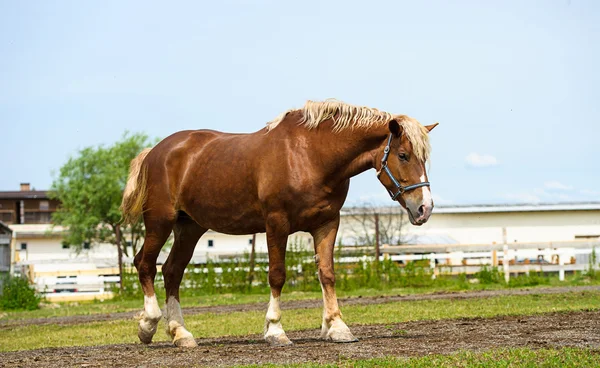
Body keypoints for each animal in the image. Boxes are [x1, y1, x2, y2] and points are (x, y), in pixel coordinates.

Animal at [120, 99, 436, 346]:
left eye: (423, 159)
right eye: (403, 155)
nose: (425, 208)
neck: (310, 155)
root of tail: (155, 152)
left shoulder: (327, 224)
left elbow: (327, 273)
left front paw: (337, 327)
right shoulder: (276, 224)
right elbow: (277, 275)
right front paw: (275, 331)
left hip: (190, 227)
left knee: (172, 271)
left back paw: (181, 334)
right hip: (160, 222)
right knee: (145, 264)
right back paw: (148, 325)